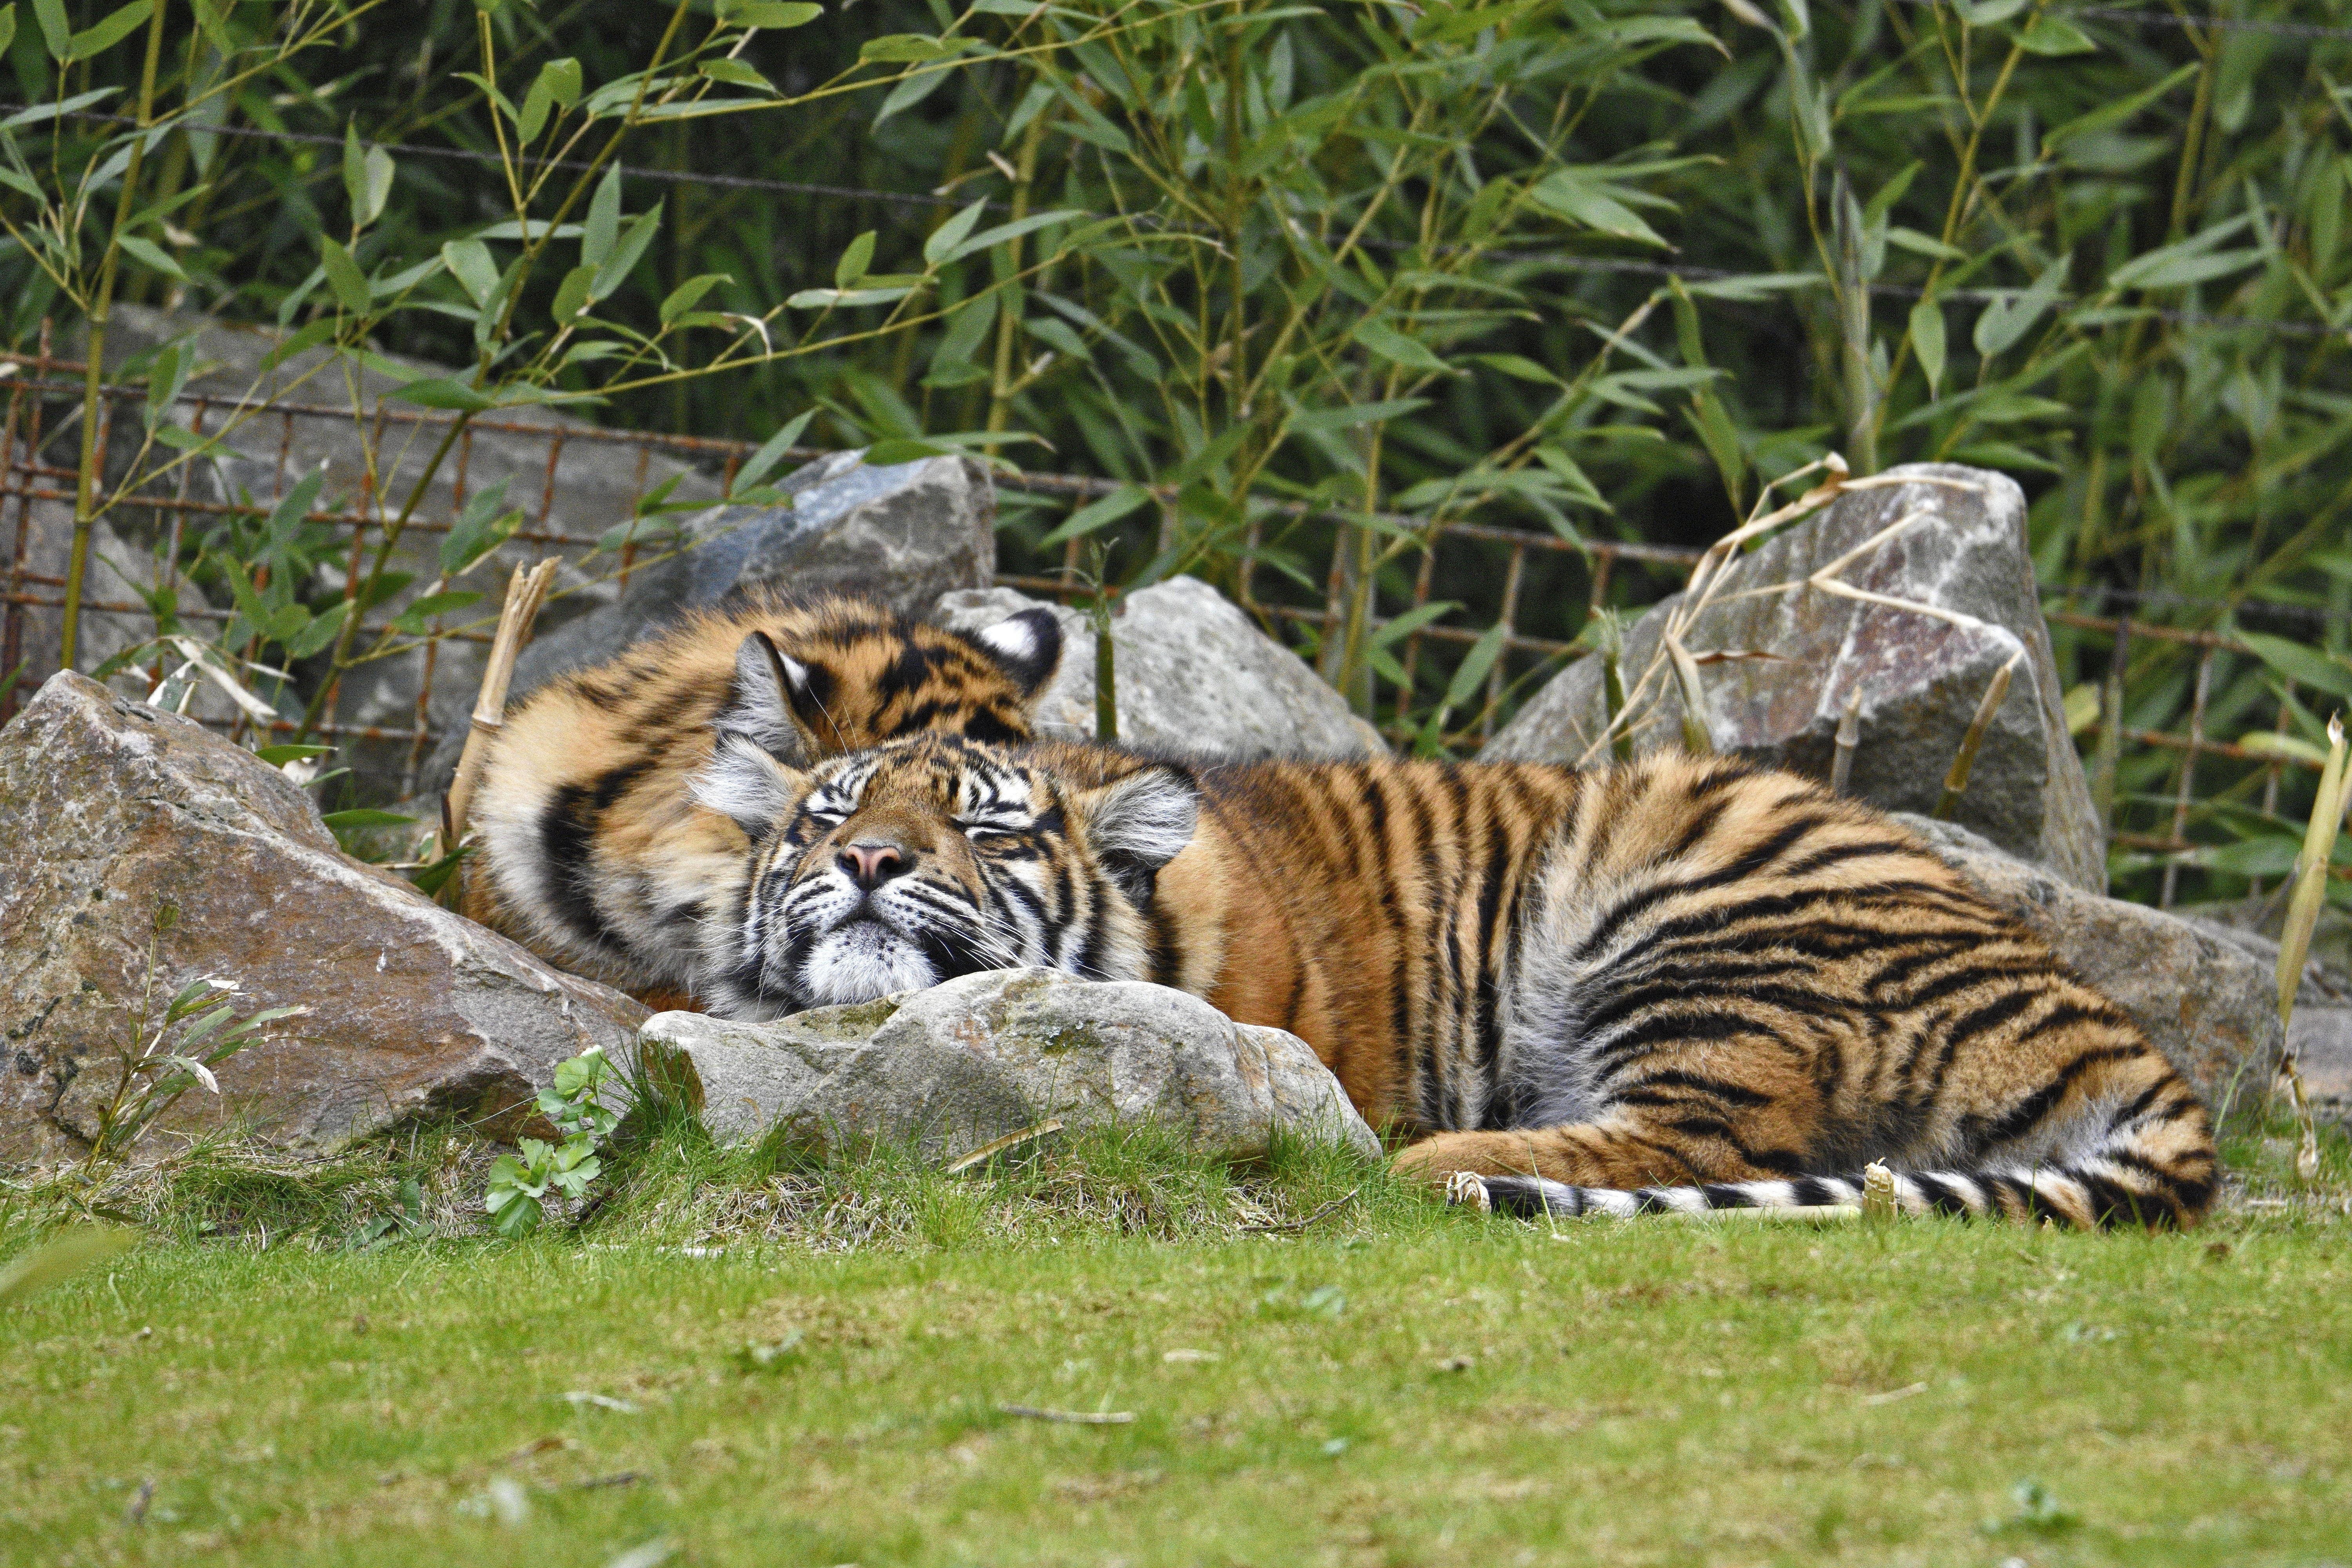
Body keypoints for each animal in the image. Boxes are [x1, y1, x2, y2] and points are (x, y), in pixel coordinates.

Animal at [685, 731, 2218, 1229]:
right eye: (827, 817)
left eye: (990, 833)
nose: (870, 859)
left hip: (1687, 914)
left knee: (1703, 1138)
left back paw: (1425, 1160)